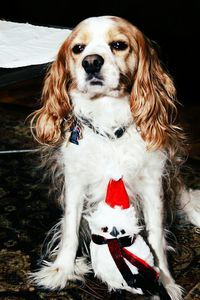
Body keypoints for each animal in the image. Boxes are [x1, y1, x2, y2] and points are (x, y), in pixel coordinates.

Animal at [30, 16, 200, 300]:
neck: (108, 119)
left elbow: (156, 237)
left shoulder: (152, 184)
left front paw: (165, 282)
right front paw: (61, 271)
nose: (91, 61)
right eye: (78, 49)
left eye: (119, 45)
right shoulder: (76, 181)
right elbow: (70, 229)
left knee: (185, 197)